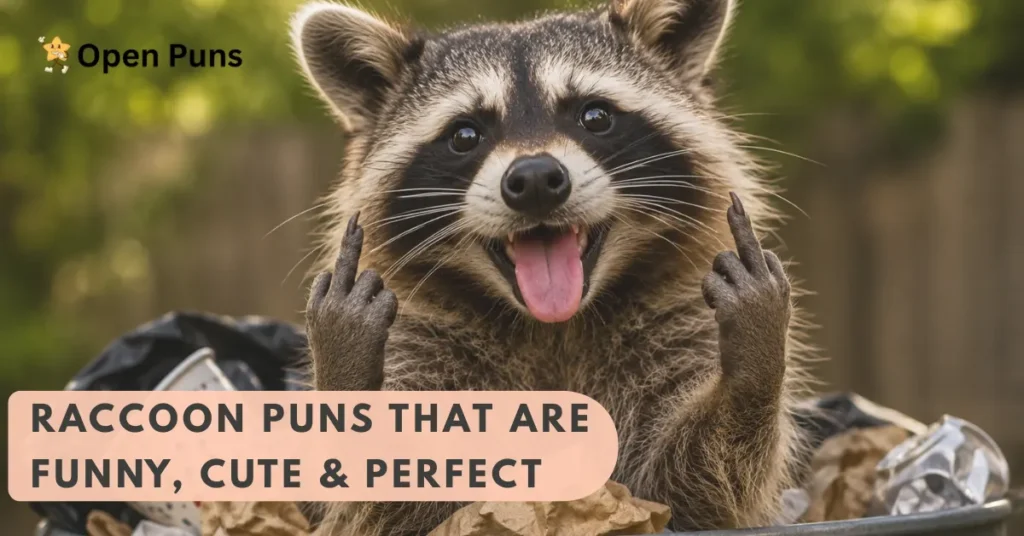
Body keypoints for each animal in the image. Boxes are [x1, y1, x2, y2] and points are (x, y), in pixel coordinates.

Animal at [291, 0, 813, 534]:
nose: (536, 178)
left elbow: (695, 488)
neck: (554, 326)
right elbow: (396, 505)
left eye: (595, 115)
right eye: (465, 134)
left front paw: (751, 366)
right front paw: (349, 379)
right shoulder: (423, 344)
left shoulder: (678, 322)